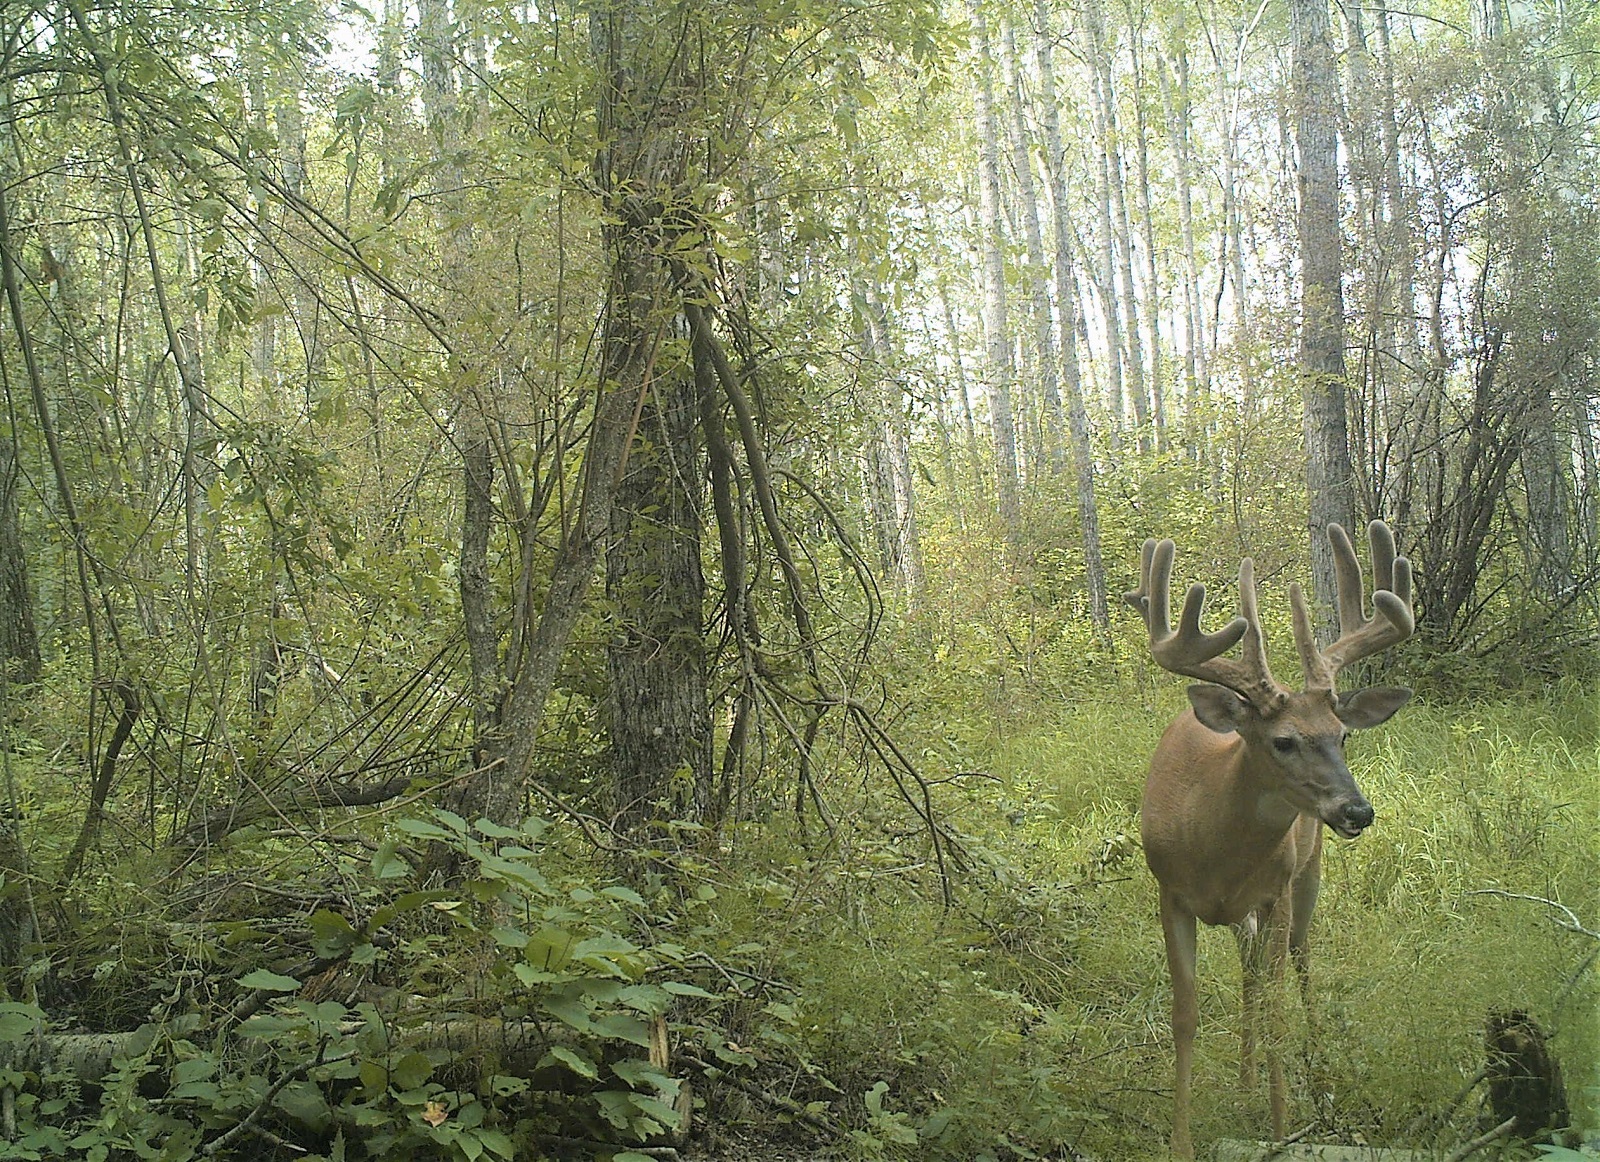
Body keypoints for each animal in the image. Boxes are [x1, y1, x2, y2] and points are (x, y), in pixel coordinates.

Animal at [1126, 524, 1414, 1158]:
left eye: (1342, 735)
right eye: (1283, 741)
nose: (1357, 810)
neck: (1212, 845)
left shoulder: (1275, 891)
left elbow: (1279, 1008)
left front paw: (1283, 1134)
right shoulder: (1168, 893)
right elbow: (1186, 1014)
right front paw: (1181, 1141)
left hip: (1306, 877)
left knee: (1298, 961)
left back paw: (1318, 1076)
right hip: (1247, 915)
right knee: (1250, 977)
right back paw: (1245, 1082)